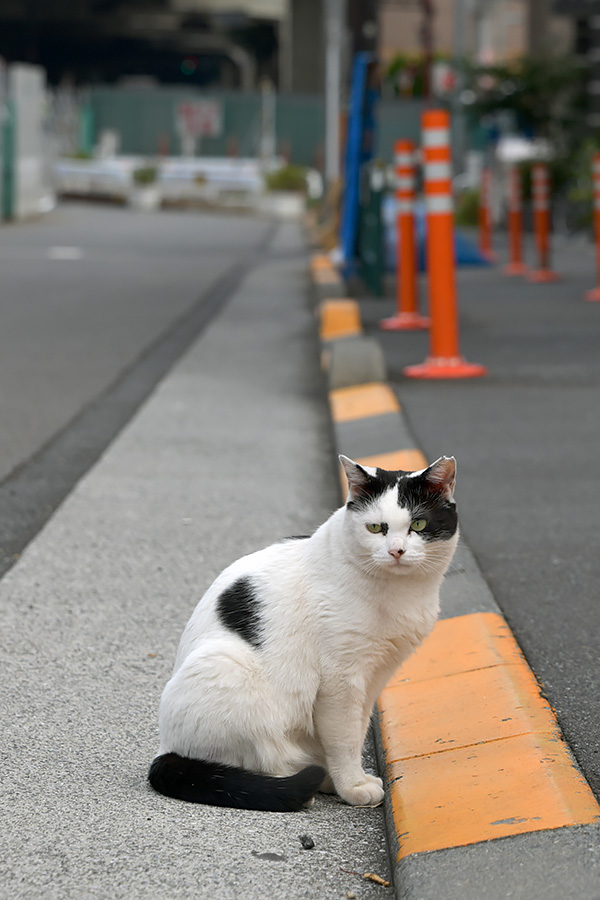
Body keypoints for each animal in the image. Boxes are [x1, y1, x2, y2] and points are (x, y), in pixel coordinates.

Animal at [150, 454, 460, 812]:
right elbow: (345, 738)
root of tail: (166, 747)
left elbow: (359, 728)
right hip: (227, 669)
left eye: (419, 525)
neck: (400, 593)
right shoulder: (340, 680)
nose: (396, 551)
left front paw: (349, 781)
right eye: (375, 527)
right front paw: (352, 787)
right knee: (261, 760)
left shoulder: (374, 677)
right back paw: (307, 782)